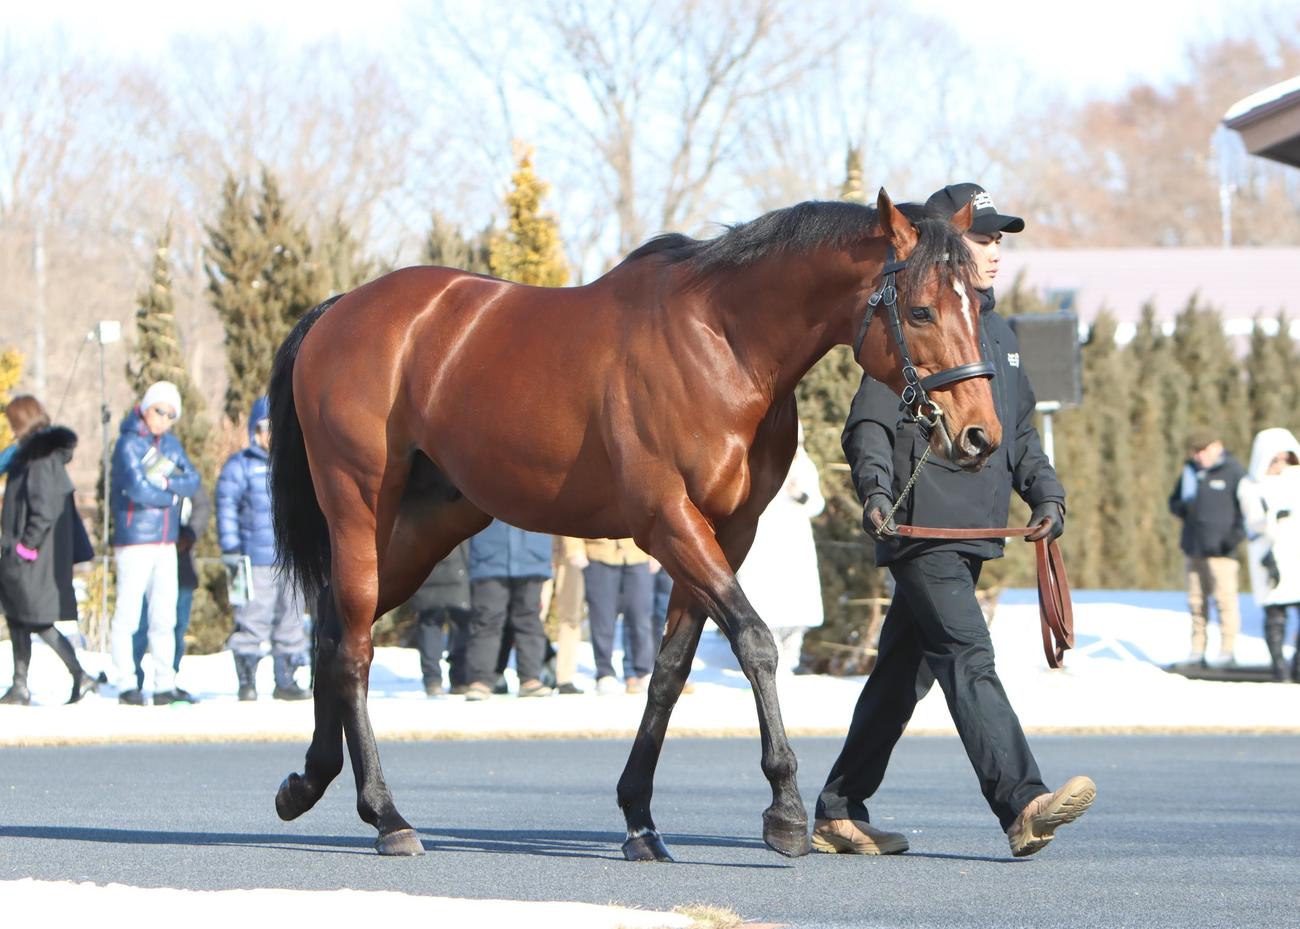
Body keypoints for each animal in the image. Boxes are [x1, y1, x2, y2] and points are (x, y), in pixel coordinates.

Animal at [267, 189, 1000, 862]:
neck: (723, 344)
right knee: (354, 647)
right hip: (360, 504)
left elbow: (670, 669)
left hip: (427, 526)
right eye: (921, 309)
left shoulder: (726, 533)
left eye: (978, 302)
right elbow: (756, 641)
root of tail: (341, 308)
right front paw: (786, 810)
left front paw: (640, 819)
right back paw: (387, 815)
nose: (979, 435)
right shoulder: (667, 521)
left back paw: (309, 781)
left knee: (334, 625)